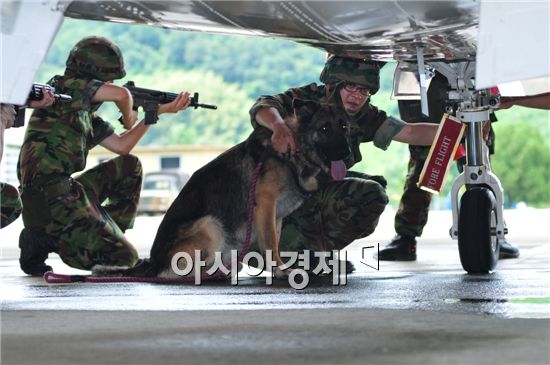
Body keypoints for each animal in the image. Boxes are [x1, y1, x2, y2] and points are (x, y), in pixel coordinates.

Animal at [94, 99, 352, 278]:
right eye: (324, 128)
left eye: (343, 126)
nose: (347, 152)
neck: (293, 151)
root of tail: (152, 262)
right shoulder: (265, 204)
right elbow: (270, 243)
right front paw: (280, 270)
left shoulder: (276, 216)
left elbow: (274, 241)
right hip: (210, 224)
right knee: (178, 272)